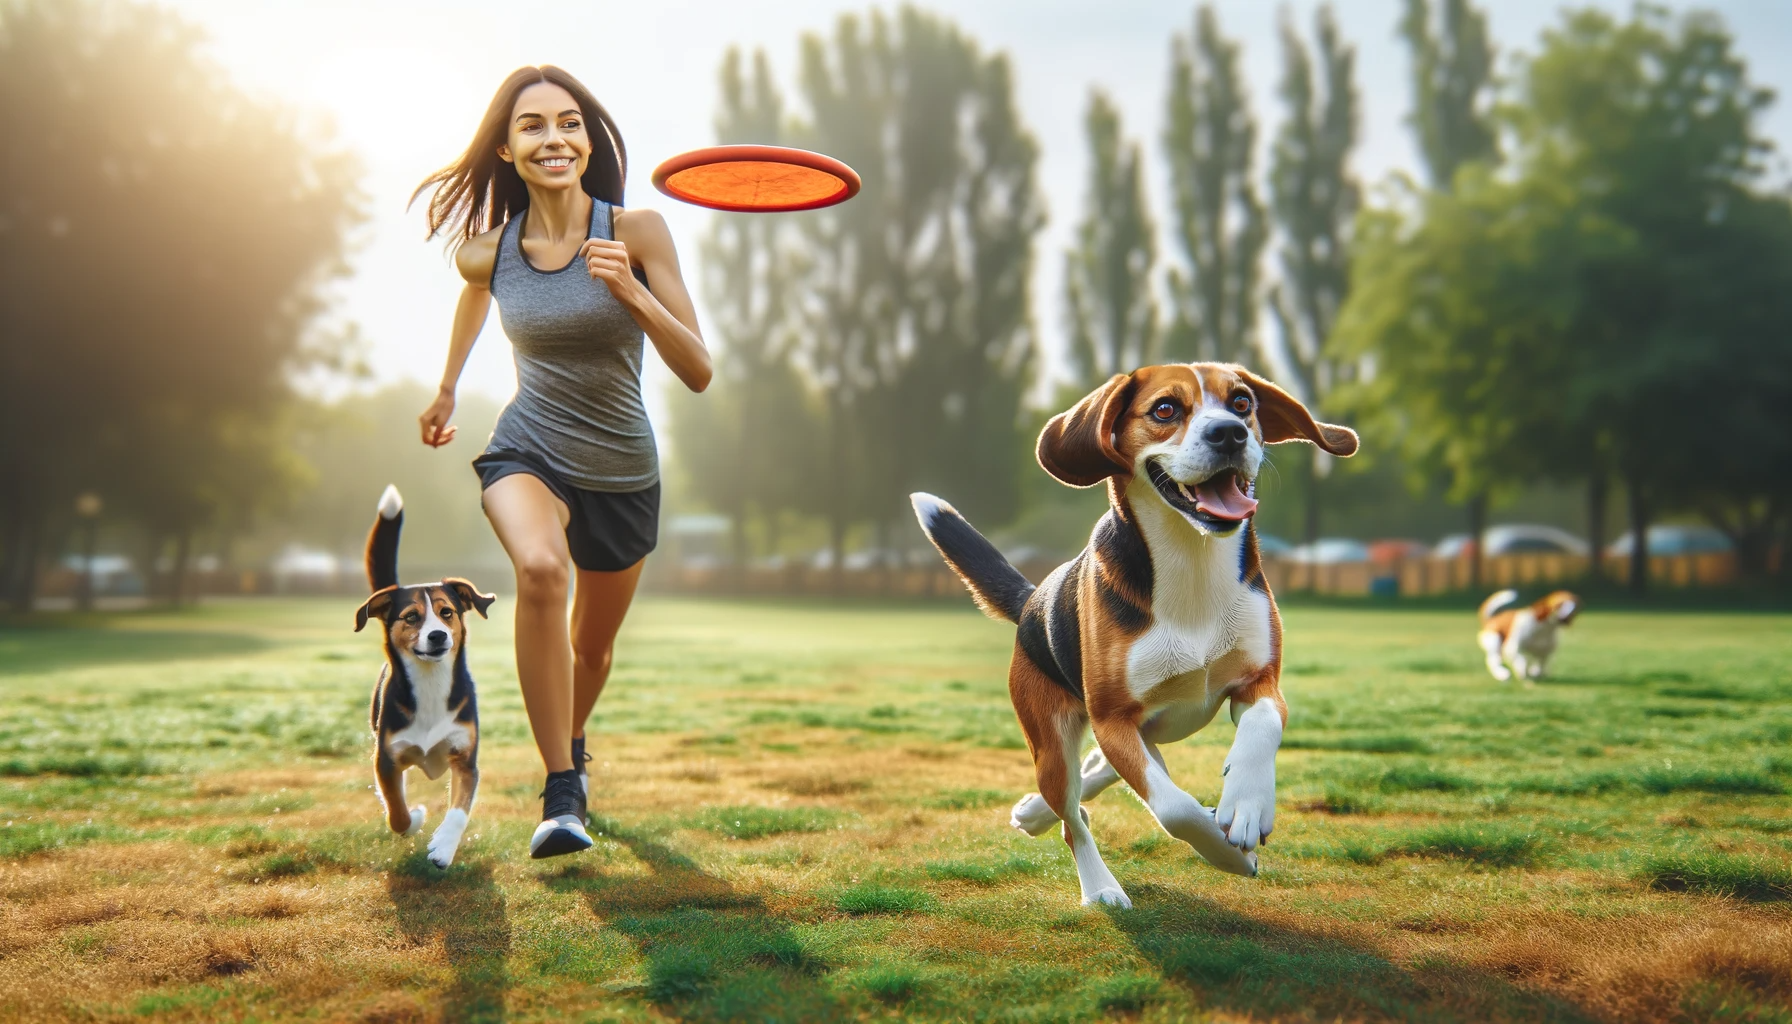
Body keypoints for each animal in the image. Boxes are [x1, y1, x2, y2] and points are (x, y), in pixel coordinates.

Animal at [353, 487, 494, 864]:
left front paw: (443, 848)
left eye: (447, 613)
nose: (438, 636)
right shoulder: (386, 760)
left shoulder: (465, 759)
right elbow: (397, 812)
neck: (431, 683)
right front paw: (415, 817)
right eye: (412, 617)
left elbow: (458, 811)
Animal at [910, 364, 1354, 911]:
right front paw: (1226, 851)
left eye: (1242, 403)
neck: (1193, 558)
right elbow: (1175, 809)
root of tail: (1033, 602)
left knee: (1096, 772)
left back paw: (1034, 811)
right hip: (1055, 739)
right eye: (1165, 409)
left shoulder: (1259, 681)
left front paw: (1247, 805)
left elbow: (1262, 726)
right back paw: (1098, 885)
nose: (1230, 433)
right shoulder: (1114, 718)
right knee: (1073, 816)